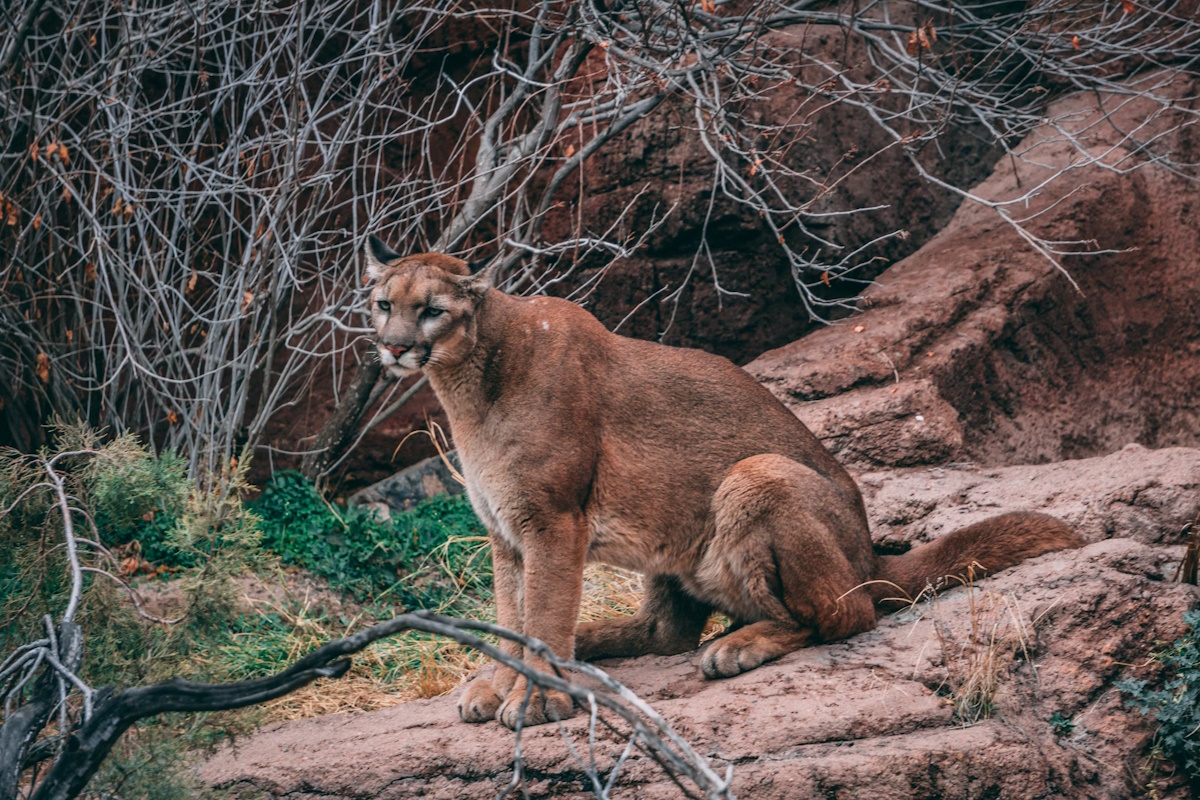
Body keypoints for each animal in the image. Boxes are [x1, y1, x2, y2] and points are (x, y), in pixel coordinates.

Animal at [360, 235, 1084, 729]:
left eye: (431, 310)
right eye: (382, 305)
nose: (393, 347)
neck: (469, 384)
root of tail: (869, 551)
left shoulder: (552, 522)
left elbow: (539, 613)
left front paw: (534, 696)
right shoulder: (505, 531)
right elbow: (512, 614)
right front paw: (496, 682)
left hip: (755, 475)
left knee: (844, 614)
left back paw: (736, 646)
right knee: (668, 632)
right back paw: (594, 641)